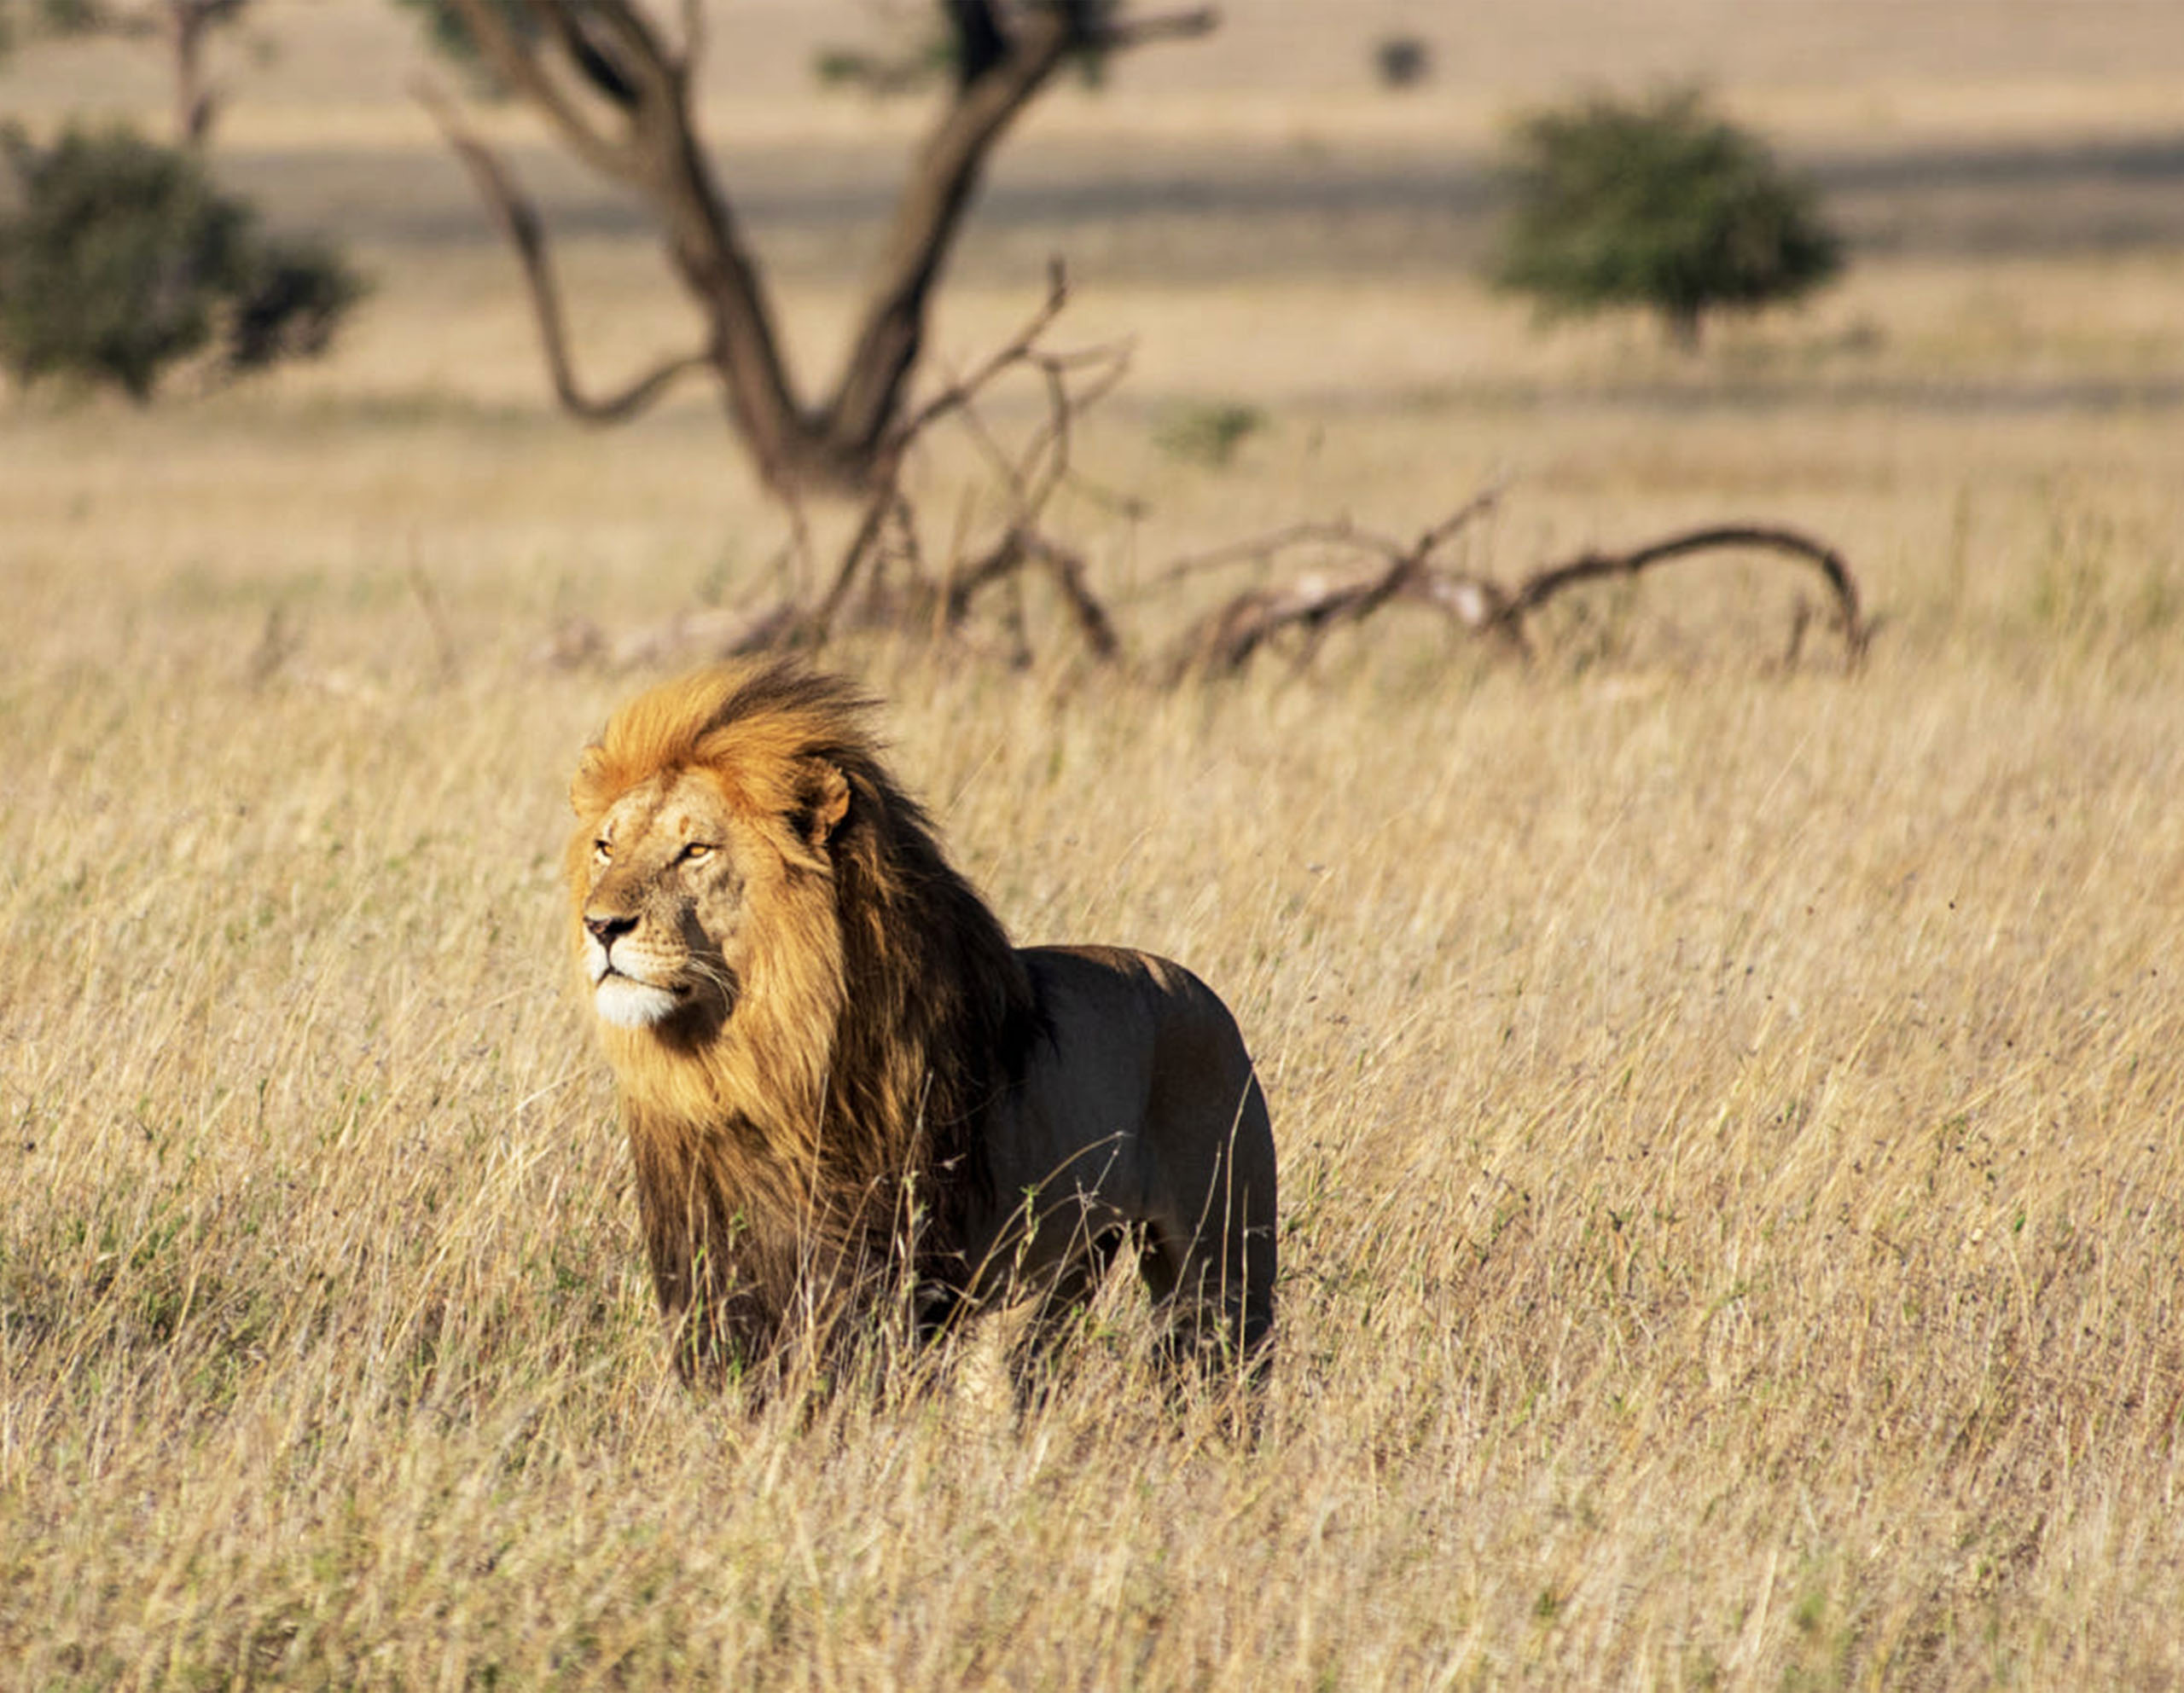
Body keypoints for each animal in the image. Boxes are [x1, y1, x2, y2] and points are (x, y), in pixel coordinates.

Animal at [565, 660, 1276, 1388]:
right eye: (606, 846)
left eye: (696, 849)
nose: (601, 925)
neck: (747, 1068)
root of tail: (1196, 987)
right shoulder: (711, 1266)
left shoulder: (883, 1261)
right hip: (1068, 1267)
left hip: (1224, 1263)